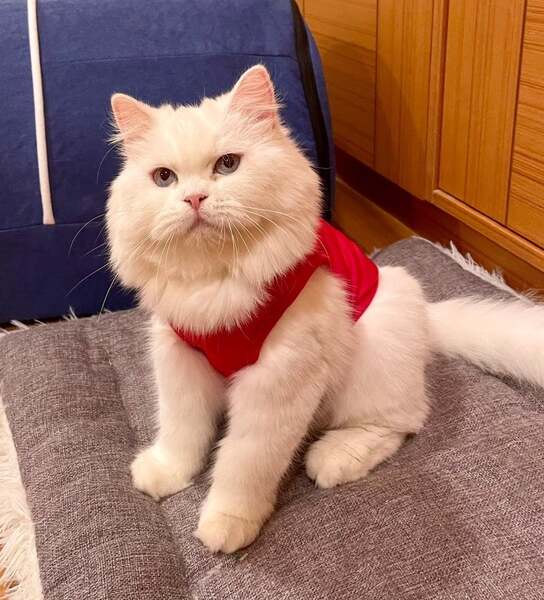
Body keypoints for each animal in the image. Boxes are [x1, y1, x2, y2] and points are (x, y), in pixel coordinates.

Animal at [106, 65, 544, 554]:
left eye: (228, 165)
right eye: (164, 178)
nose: (195, 199)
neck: (217, 285)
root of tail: (428, 321)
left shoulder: (278, 379)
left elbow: (244, 462)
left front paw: (228, 524)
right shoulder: (180, 358)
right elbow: (182, 430)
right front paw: (167, 473)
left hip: (372, 356)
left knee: (401, 422)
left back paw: (333, 458)